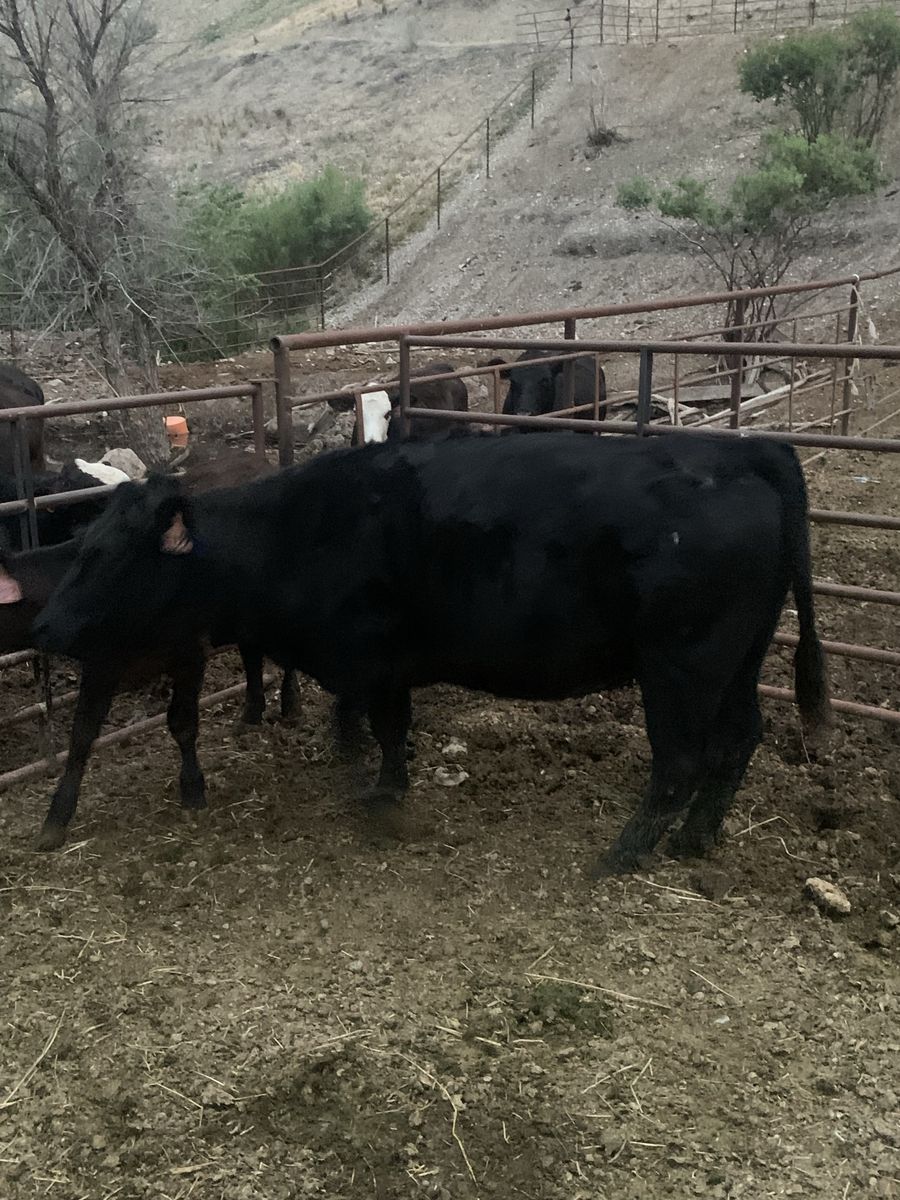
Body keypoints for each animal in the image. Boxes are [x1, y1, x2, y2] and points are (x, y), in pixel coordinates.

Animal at [33, 431, 829, 875]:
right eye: (79, 544)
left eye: (104, 557)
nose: (45, 627)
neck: (294, 534)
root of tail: (742, 449)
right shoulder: (379, 668)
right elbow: (379, 726)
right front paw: (376, 774)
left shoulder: (373, 657)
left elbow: (383, 727)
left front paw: (380, 793)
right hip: (737, 661)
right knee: (739, 739)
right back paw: (696, 840)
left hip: (680, 665)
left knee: (681, 760)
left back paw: (623, 855)